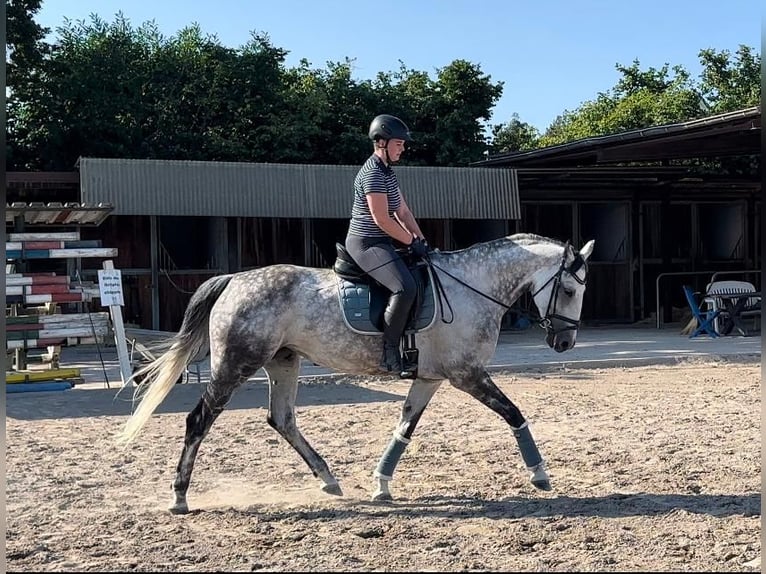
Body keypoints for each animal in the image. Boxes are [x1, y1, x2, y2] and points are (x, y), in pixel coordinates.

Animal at [117, 233, 595, 514]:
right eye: (571, 289)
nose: (564, 344)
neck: (471, 287)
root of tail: (235, 279)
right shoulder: (467, 374)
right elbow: (513, 414)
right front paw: (540, 474)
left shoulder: (430, 377)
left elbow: (404, 427)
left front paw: (381, 485)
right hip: (236, 365)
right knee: (199, 420)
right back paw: (179, 495)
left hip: (283, 361)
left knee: (282, 419)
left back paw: (329, 480)